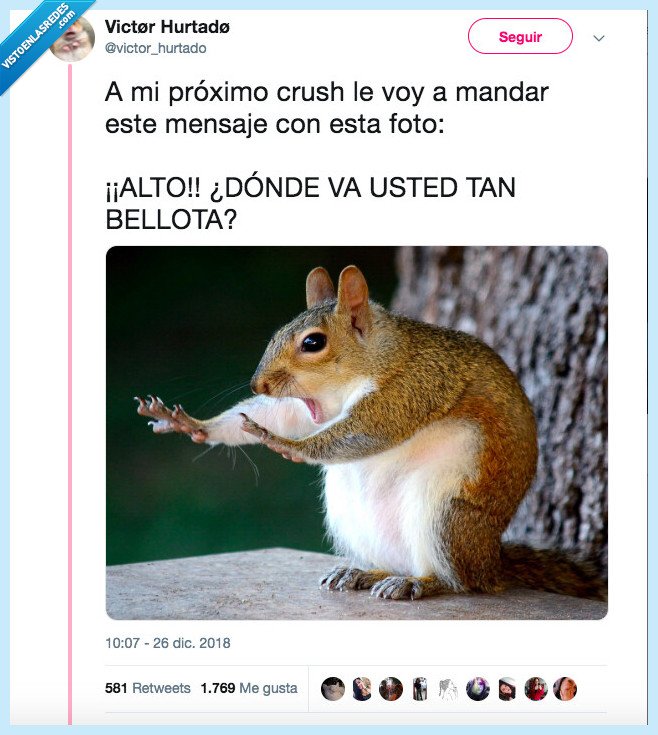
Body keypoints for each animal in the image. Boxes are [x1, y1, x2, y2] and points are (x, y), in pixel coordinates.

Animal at [135, 265, 605, 601]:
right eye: (278, 332)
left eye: (313, 343)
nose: (259, 385)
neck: (377, 357)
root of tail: (491, 561)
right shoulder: (310, 407)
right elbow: (284, 415)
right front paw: (193, 424)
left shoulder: (415, 385)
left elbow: (369, 430)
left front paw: (286, 445)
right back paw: (363, 572)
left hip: (446, 516)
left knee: (462, 582)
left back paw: (421, 583)